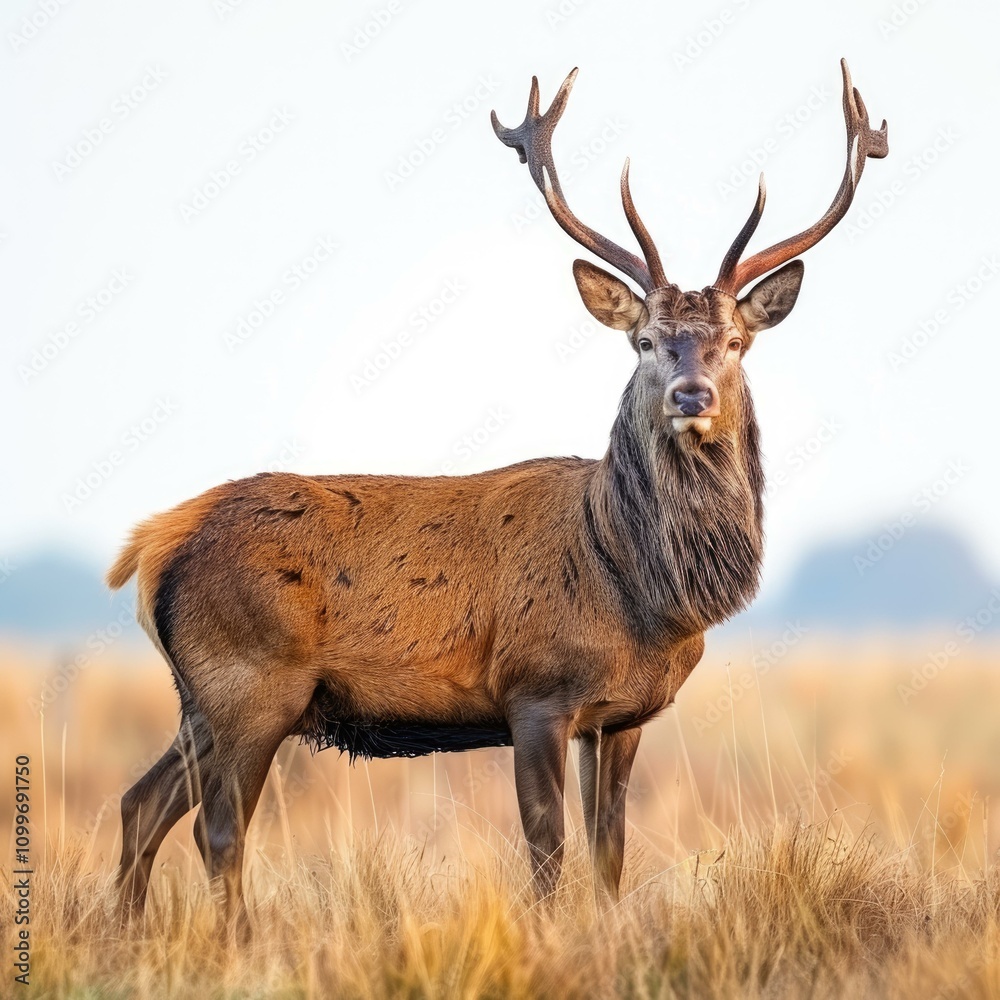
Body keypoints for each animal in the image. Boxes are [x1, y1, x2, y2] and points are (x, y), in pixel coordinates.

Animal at [108, 59, 887, 928]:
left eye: (736, 342)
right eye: (646, 341)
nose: (692, 394)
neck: (640, 588)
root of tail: (156, 542)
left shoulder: (624, 715)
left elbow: (610, 854)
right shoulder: (535, 691)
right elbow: (548, 854)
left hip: (203, 697)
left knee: (140, 805)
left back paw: (128, 935)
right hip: (251, 682)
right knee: (217, 830)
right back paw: (237, 942)